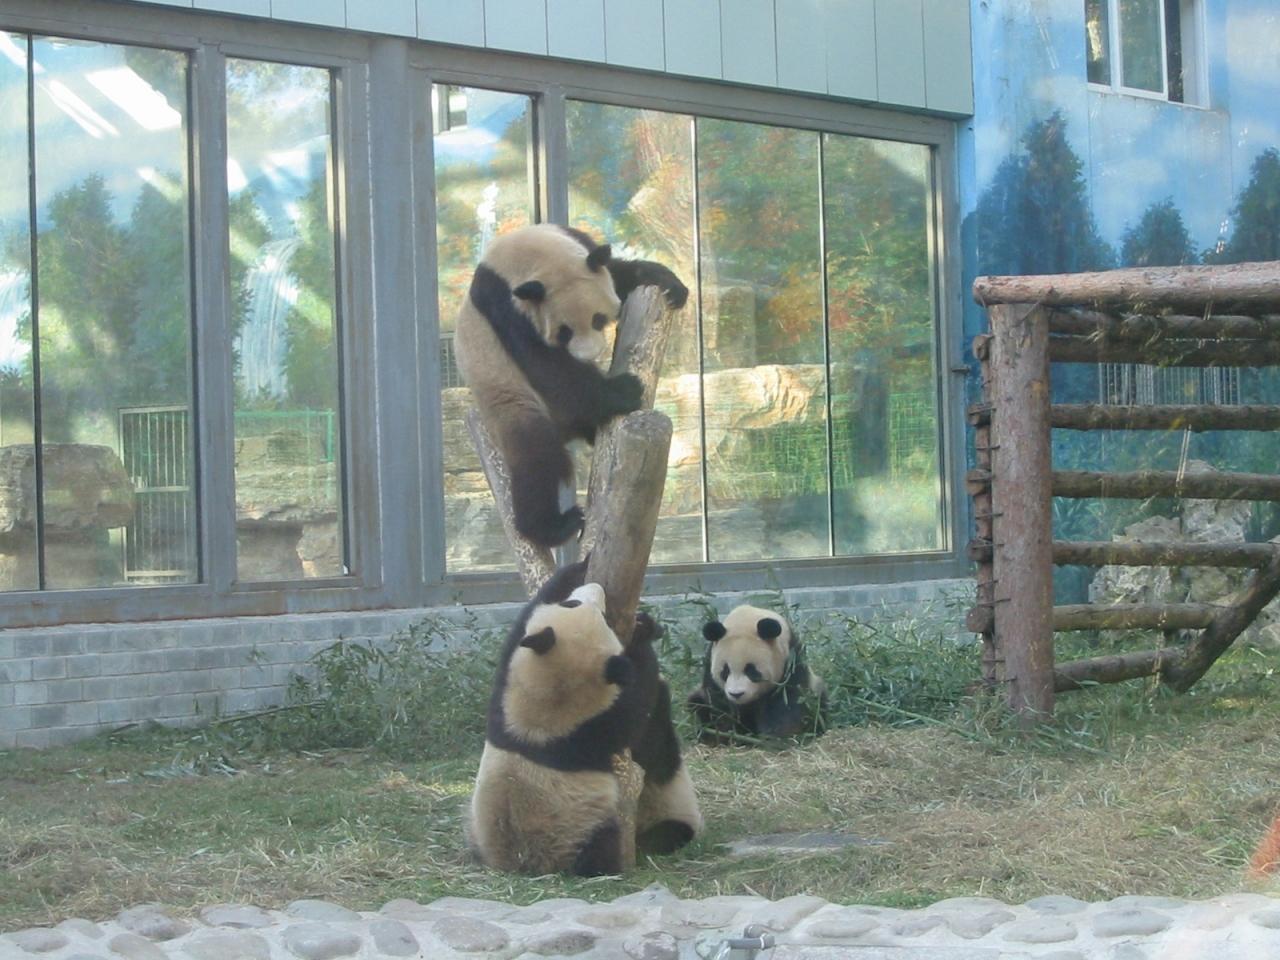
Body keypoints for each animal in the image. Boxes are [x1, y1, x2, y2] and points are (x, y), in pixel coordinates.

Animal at [453, 224, 688, 548]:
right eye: (564, 331)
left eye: (598, 319)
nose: (589, 355)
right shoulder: (505, 309)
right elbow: (547, 364)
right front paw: (624, 391)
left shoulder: (580, 247)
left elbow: (618, 275)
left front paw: (668, 285)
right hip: (511, 401)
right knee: (538, 455)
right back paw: (551, 526)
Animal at [468, 562, 701, 876]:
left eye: (571, 603)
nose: (596, 588)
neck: (544, 709)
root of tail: (517, 862)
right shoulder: (597, 729)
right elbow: (639, 707)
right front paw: (641, 639)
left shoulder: (502, 704)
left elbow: (528, 614)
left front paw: (579, 564)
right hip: (584, 832)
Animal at [687, 605, 827, 744]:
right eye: (725, 671)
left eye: (751, 671)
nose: (736, 694)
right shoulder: (710, 669)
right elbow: (717, 705)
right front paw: (721, 734)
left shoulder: (792, 664)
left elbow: (788, 702)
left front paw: (777, 737)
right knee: (696, 703)